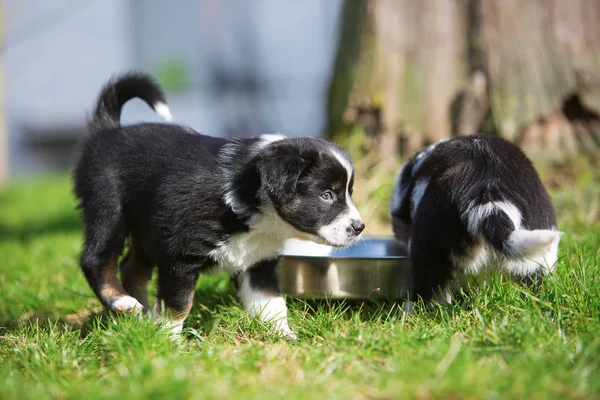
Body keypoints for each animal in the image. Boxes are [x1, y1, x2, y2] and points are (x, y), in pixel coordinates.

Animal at [72, 72, 364, 338]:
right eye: (326, 195)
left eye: (348, 192)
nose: (359, 227)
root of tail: (108, 130)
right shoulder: (180, 254)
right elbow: (178, 304)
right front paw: (168, 341)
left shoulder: (259, 260)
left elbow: (271, 302)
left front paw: (284, 336)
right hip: (108, 207)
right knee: (96, 259)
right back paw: (121, 301)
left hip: (147, 229)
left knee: (132, 267)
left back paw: (142, 314)